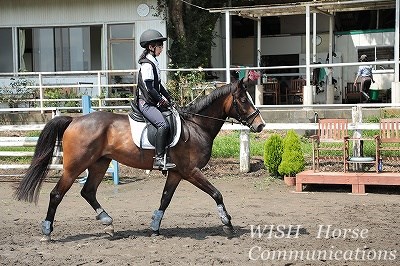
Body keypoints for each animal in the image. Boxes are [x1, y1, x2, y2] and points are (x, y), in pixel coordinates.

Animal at [14, 78, 266, 241]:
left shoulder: (176, 173)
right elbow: (216, 193)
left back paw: (108, 223)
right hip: (75, 166)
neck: (196, 125)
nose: (260, 125)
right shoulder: (190, 171)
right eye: (244, 100)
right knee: (57, 194)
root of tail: (74, 120)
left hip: (99, 164)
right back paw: (47, 232)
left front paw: (154, 227)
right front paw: (228, 224)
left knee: (88, 192)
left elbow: (165, 199)